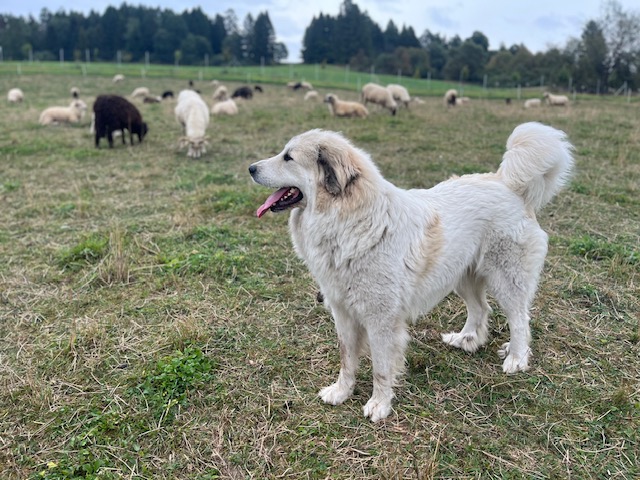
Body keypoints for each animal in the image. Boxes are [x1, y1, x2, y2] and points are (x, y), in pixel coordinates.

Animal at [250, 122, 576, 422]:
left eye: (288, 157)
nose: (251, 168)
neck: (348, 220)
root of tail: (507, 183)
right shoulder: (343, 312)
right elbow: (347, 359)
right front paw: (341, 392)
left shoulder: (381, 320)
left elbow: (381, 368)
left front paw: (379, 405)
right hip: (462, 276)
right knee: (481, 309)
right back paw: (467, 340)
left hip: (506, 278)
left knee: (519, 319)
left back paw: (516, 358)